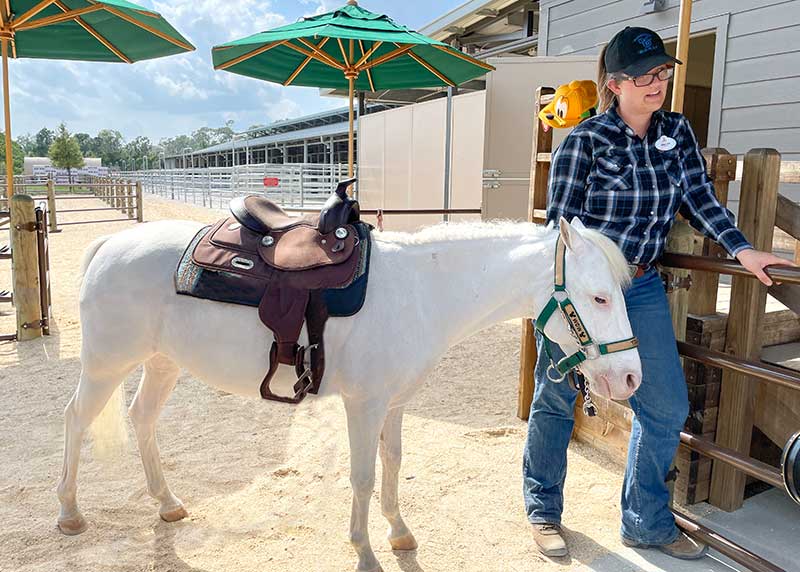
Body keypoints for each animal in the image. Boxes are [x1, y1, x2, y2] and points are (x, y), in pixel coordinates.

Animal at [56, 216, 640, 572]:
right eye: (599, 297)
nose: (632, 378)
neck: (421, 290)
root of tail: (109, 245)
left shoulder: (395, 404)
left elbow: (393, 462)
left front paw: (399, 531)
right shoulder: (364, 404)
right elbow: (361, 476)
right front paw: (363, 550)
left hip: (162, 363)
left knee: (142, 419)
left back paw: (167, 503)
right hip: (106, 364)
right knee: (76, 419)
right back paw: (68, 512)